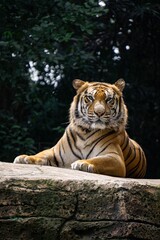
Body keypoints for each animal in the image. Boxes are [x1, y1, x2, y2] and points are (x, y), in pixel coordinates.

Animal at [13, 79, 146, 178]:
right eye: (90, 98)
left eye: (109, 99)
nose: (99, 112)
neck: (86, 132)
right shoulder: (55, 152)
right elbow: (41, 154)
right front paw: (25, 157)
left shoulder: (114, 157)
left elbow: (98, 160)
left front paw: (82, 163)